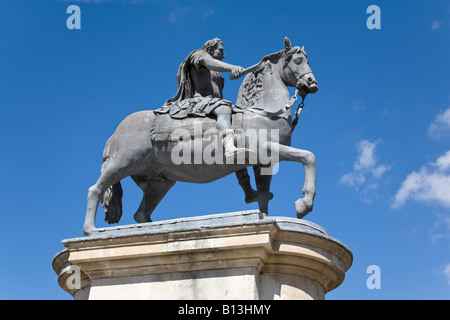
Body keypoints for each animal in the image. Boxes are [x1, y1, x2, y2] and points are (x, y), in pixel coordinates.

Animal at [82, 38, 318, 236]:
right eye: (298, 60)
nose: (311, 83)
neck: (264, 111)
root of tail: (116, 133)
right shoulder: (266, 149)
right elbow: (308, 157)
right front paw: (304, 204)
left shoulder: (264, 163)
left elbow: (262, 196)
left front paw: (265, 219)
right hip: (123, 162)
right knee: (95, 189)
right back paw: (91, 230)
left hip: (158, 181)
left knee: (141, 213)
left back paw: (156, 230)